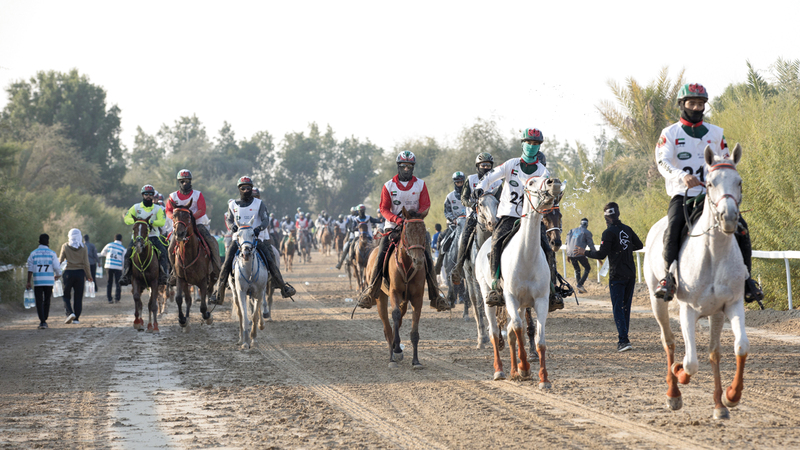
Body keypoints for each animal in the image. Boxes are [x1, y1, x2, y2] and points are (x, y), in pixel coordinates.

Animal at [170, 200, 214, 330]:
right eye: (174, 216)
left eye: (188, 216)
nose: (179, 233)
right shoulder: (181, 279)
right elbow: (179, 299)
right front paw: (182, 320)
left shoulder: (203, 280)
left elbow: (203, 306)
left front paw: (208, 316)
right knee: (188, 300)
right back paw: (187, 319)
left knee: (209, 292)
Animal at [368, 207, 432, 370]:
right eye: (407, 232)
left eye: (424, 232)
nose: (418, 260)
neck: (407, 265)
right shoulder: (394, 292)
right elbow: (395, 315)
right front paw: (396, 351)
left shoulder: (417, 297)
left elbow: (414, 327)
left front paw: (416, 361)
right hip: (380, 296)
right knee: (387, 324)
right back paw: (392, 351)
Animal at [478, 176, 560, 386]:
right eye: (531, 183)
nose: (553, 183)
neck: (526, 256)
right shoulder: (510, 298)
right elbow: (516, 327)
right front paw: (524, 368)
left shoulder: (541, 301)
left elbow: (539, 340)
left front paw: (543, 378)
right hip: (487, 296)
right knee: (495, 332)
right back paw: (499, 371)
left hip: (523, 305)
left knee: (511, 333)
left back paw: (514, 370)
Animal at [644, 143, 752, 418]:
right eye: (711, 183)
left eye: (739, 182)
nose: (729, 217)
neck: (713, 254)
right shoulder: (687, 310)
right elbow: (691, 363)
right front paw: (679, 372)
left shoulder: (732, 305)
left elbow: (740, 347)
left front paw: (731, 397)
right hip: (657, 303)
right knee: (669, 342)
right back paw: (673, 393)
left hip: (715, 314)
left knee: (714, 353)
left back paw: (719, 405)